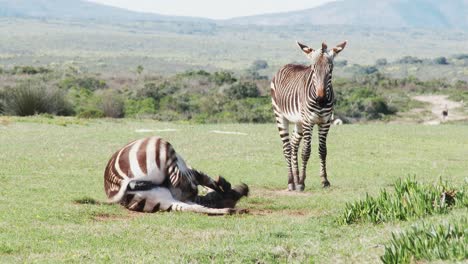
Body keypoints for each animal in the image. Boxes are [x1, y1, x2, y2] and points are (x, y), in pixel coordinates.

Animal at [103, 136, 249, 214]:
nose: (244, 189)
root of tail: (119, 181)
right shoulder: (191, 172)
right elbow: (206, 179)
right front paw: (225, 185)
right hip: (164, 148)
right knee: (182, 184)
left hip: (159, 199)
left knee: (192, 207)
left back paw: (231, 211)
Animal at [270, 40, 348, 191]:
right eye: (313, 70)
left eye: (330, 70)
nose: (321, 100)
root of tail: (286, 65)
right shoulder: (308, 121)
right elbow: (306, 151)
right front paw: (302, 182)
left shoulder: (325, 122)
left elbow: (323, 150)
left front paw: (324, 181)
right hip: (280, 116)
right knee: (287, 148)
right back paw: (291, 182)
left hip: (299, 122)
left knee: (294, 145)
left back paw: (295, 178)